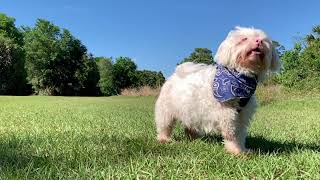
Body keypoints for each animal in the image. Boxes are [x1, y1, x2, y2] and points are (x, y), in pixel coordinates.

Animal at [155, 26, 280, 155]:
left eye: (264, 40)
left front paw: (243, 150)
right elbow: (231, 135)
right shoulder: (227, 114)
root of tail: (175, 74)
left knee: (189, 126)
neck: (241, 78)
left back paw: (193, 139)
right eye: (244, 39)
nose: (258, 41)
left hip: (190, 112)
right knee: (164, 127)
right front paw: (235, 151)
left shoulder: (242, 115)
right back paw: (165, 139)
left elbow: (240, 135)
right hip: (166, 112)